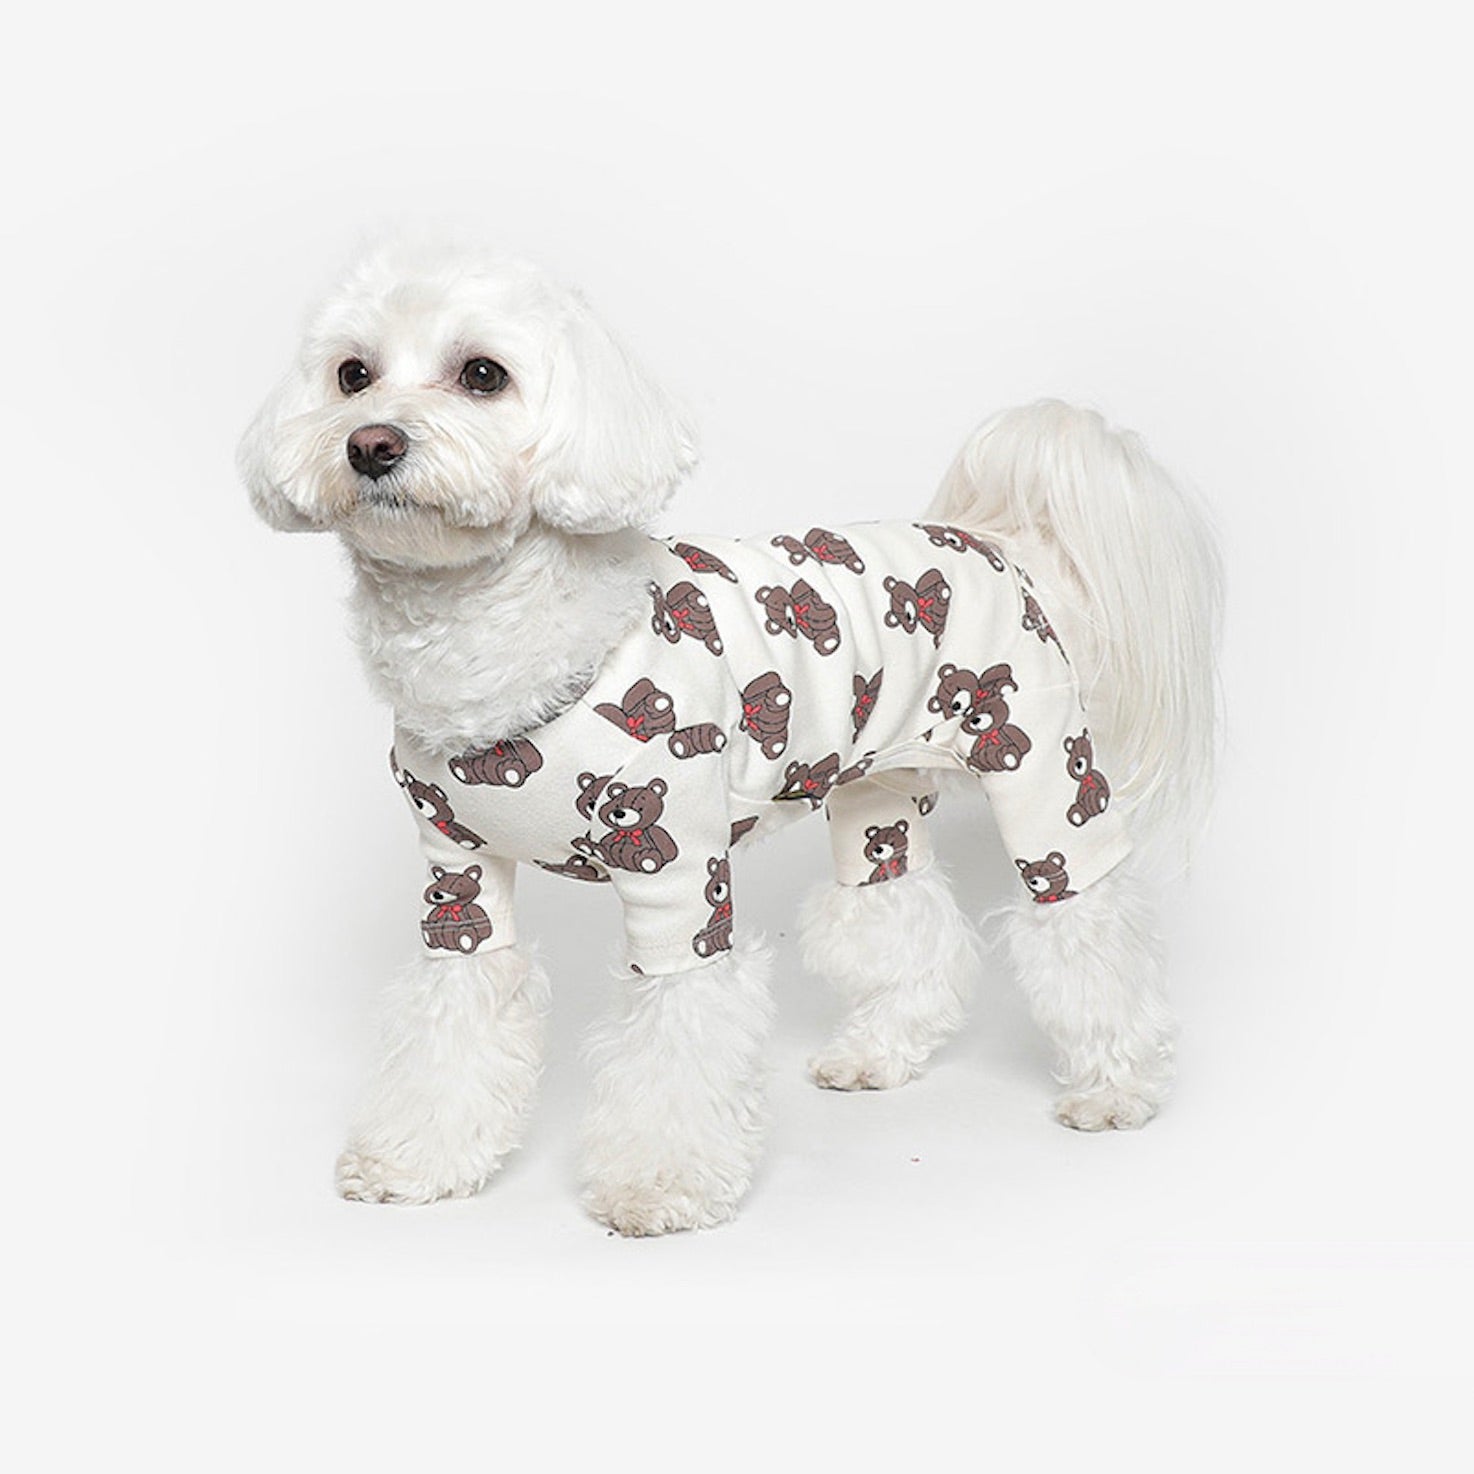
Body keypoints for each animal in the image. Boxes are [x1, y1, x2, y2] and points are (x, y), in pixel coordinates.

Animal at [239, 240, 1222, 1235]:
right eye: (352, 375)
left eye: (483, 374)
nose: (371, 444)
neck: (501, 641)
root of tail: (995, 539)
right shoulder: (458, 878)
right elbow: (455, 1015)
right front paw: (417, 1162)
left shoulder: (678, 873)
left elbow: (679, 1029)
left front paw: (655, 1186)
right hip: (875, 793)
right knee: (900, 917)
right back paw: (880, 1050)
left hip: (1045, 777)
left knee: (1086, 921)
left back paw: (1118, 1085)